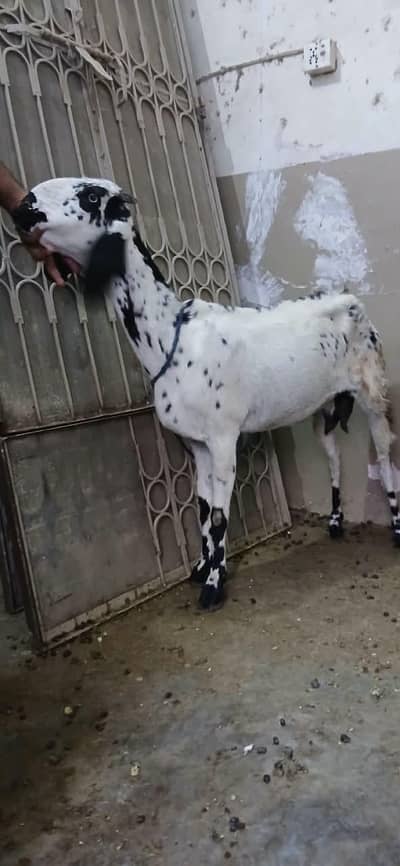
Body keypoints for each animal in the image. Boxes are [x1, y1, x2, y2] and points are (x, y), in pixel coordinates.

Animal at [12, 177, 400, 611]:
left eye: (91, 196)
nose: (23, 207)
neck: (171, 337)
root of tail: (350, 299)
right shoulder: (197, 443)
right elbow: (200, 509)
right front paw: (202, 568)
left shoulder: (223, 436)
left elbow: (217, 516)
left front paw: (214, 585)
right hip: (323, 408)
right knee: (333, 457)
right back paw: (334, 522)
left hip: (373, 393)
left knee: (385, 455)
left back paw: (396, 529)